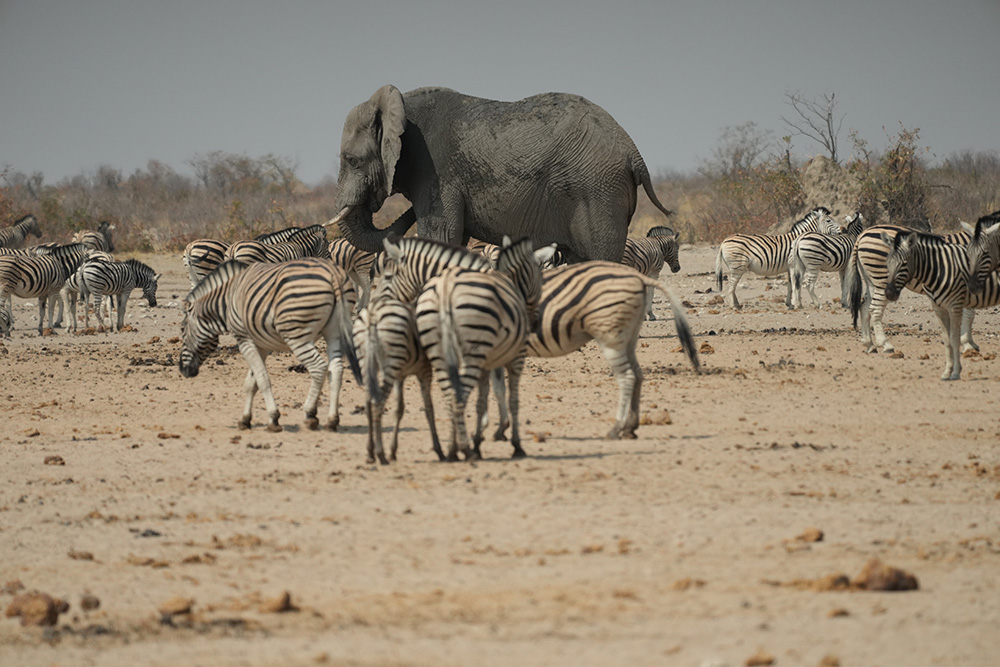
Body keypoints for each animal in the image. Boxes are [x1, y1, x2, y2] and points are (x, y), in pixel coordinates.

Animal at [328, 85, 673, 263]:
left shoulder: (435, 172)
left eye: (352, 160)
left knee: (599, 255)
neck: (399, 104)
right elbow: (453, 237)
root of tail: (633, 151)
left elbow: (441, 234)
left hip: (596, 188)